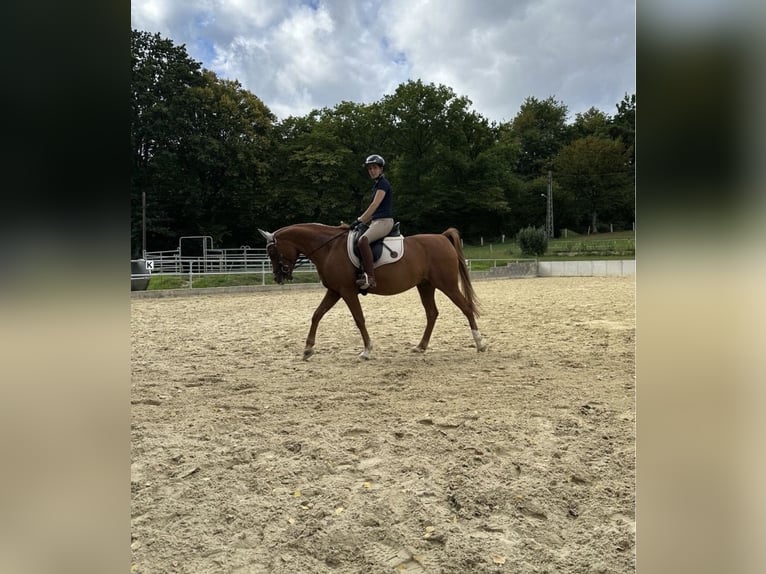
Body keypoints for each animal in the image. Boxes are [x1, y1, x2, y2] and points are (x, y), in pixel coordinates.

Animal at [257, 223, 488, 360]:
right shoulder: (334, 291)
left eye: (272, 252)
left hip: (446, 284)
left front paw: (367, 350)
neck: (328, 248)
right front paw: (308, 349)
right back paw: (420, 346)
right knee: (432, 313)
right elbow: (317, 315)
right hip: (425, 285)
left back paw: (480, 344)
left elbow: (359, 319)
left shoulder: (346, 291)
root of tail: (441, 237)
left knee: (466, 308)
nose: (278, 277)